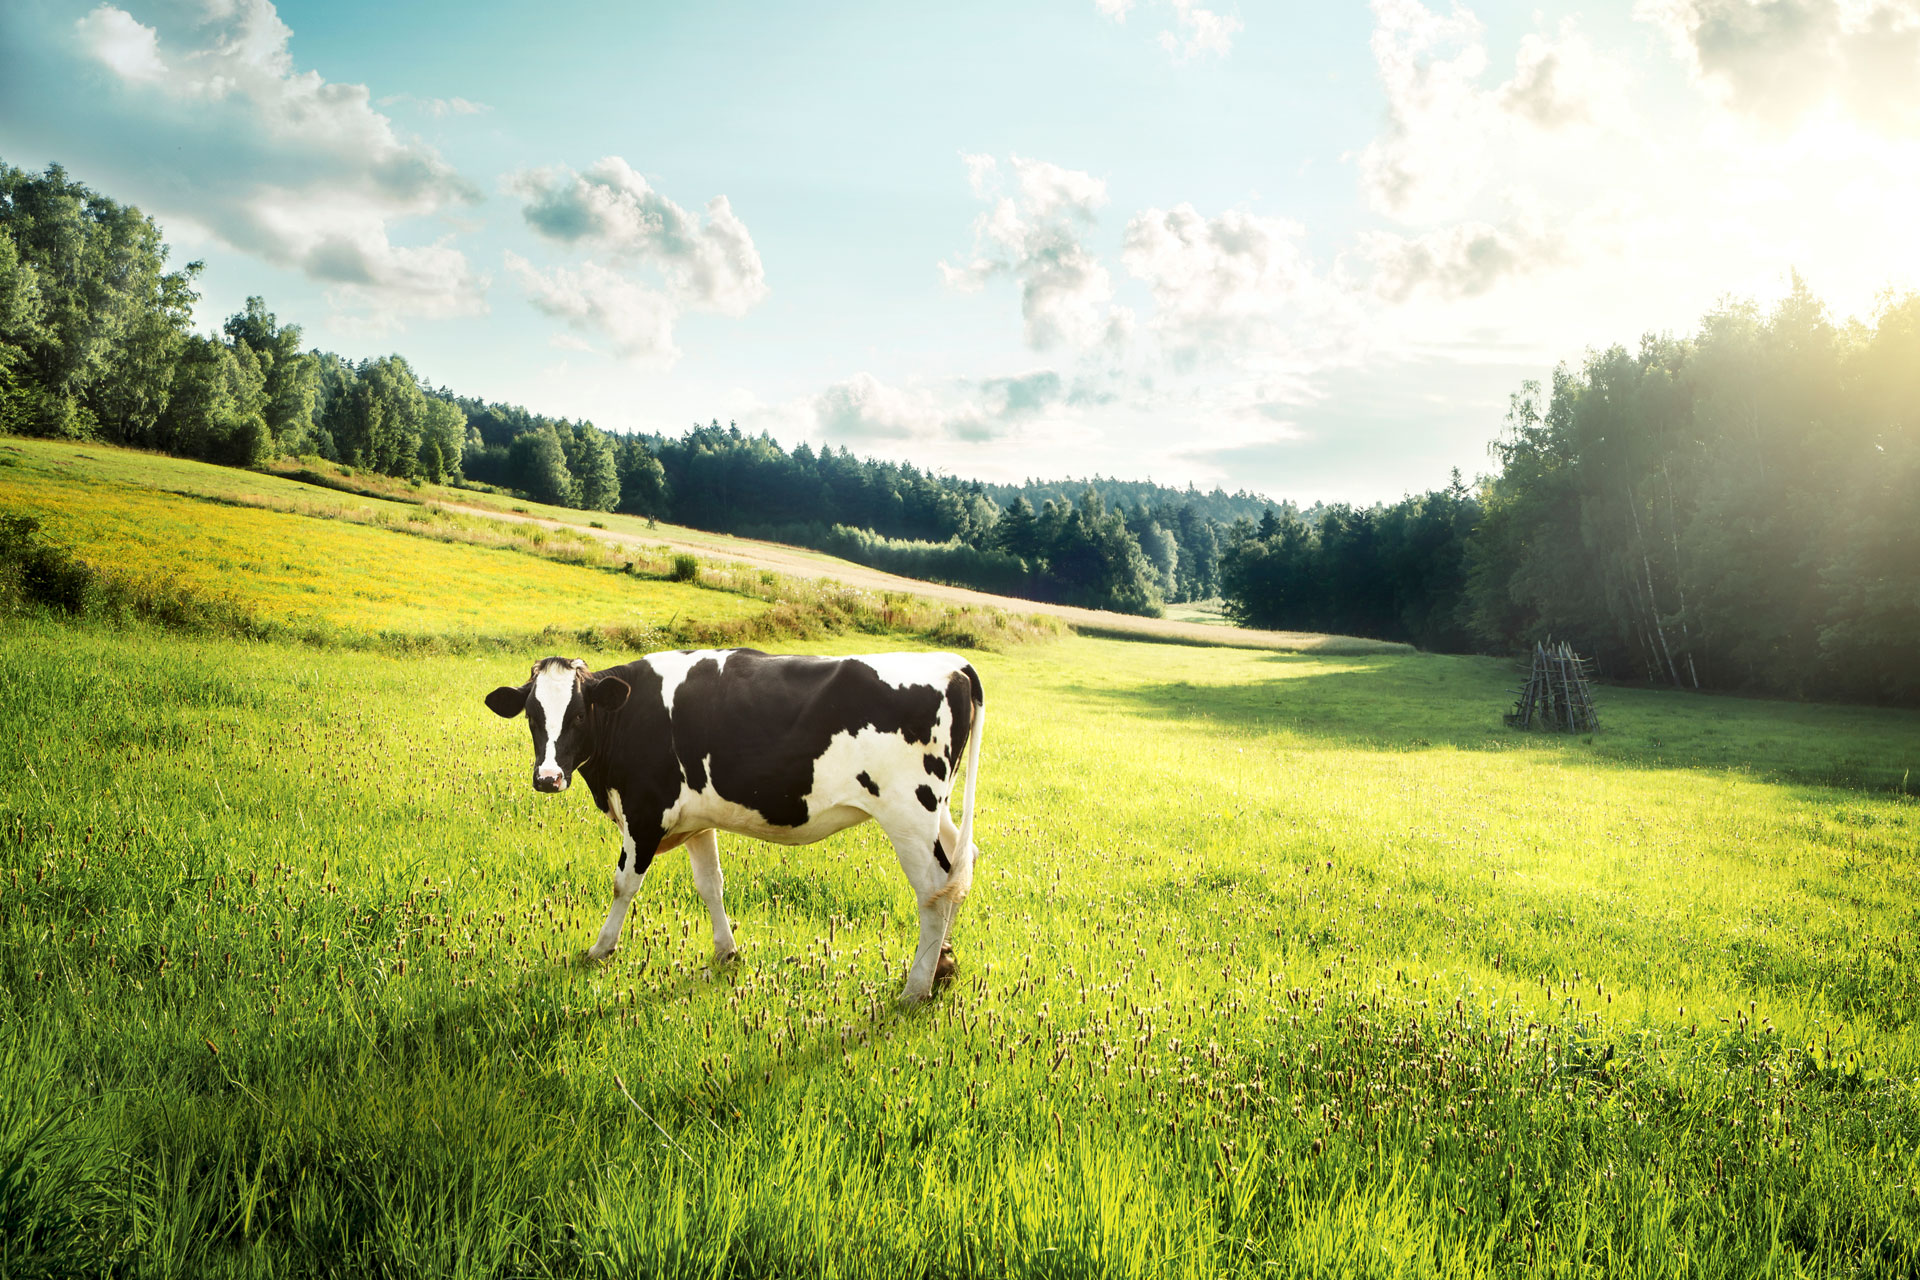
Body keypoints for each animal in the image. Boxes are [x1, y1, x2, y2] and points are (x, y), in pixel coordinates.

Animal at [480, 652, 990, 997]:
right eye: (532, 715)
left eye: (579, 713)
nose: (548, 778)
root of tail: (951, 664)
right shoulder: (696, 819)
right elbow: (710, 884)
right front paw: (726, 952)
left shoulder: (645, 813)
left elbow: (624, 884)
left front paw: (600, 950)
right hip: (938, 814)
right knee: (958, 870)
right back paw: (943, 965)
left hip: (909, 814)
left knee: (933, 891)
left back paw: (916, 987)